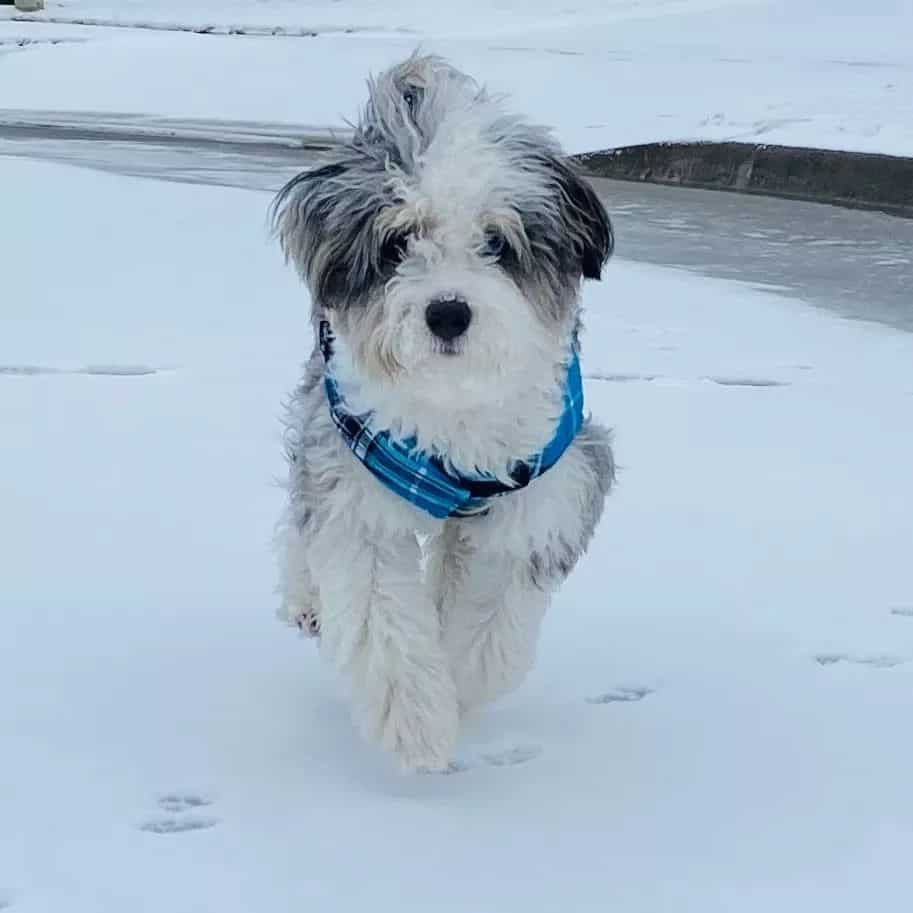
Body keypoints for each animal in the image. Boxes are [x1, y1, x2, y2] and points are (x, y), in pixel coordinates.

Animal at [268, 55, 612, 768]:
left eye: (498, 243)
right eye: (398, 242)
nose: (448, 313)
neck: (451, 413)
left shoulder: (541, 494)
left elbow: (489, 621)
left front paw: (461, 688)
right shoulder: (354, 492)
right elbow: (381, 619)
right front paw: (417, 726)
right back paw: (306, 601)